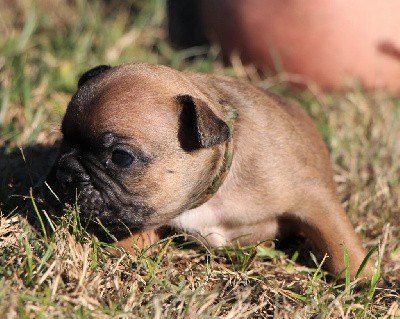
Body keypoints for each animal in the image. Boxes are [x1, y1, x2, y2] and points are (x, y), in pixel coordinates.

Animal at [46, 63, 372, 278]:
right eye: (63, 139)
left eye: (121, 158)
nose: (65, 174)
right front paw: (119, 252)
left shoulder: (312, 198)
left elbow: (339, 241)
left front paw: (362, 279)